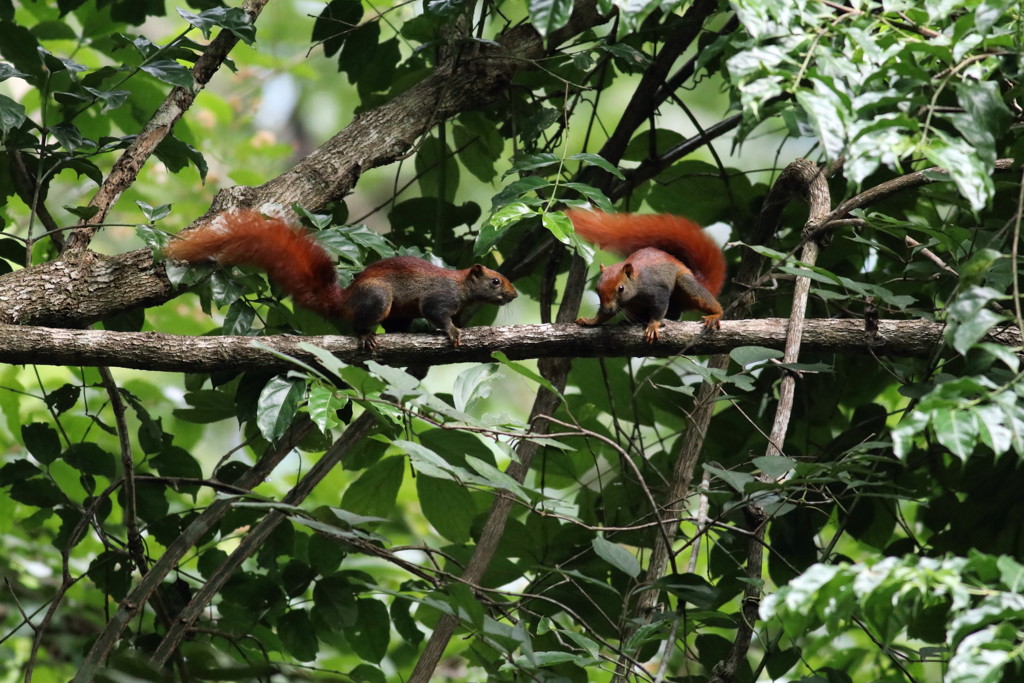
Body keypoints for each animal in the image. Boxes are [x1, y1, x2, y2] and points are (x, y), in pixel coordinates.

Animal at [167, 209, 520, 350]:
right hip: (379, 298)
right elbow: (435, 311)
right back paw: (365, 335)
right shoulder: (439, 296)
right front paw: (452, 330)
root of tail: (345, 298)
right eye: (495, 281)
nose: (514, 295)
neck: (461, 286)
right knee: (361, 322)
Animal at [569, 208, 729, 344]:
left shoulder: (657, 289)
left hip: (685, 284)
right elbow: (604, 316)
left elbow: (659, 306)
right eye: (597, 289)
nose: (606, 308)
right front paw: (592, 321)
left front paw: (653, 325)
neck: (636, 285)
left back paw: (715, 315)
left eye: (621, 288)